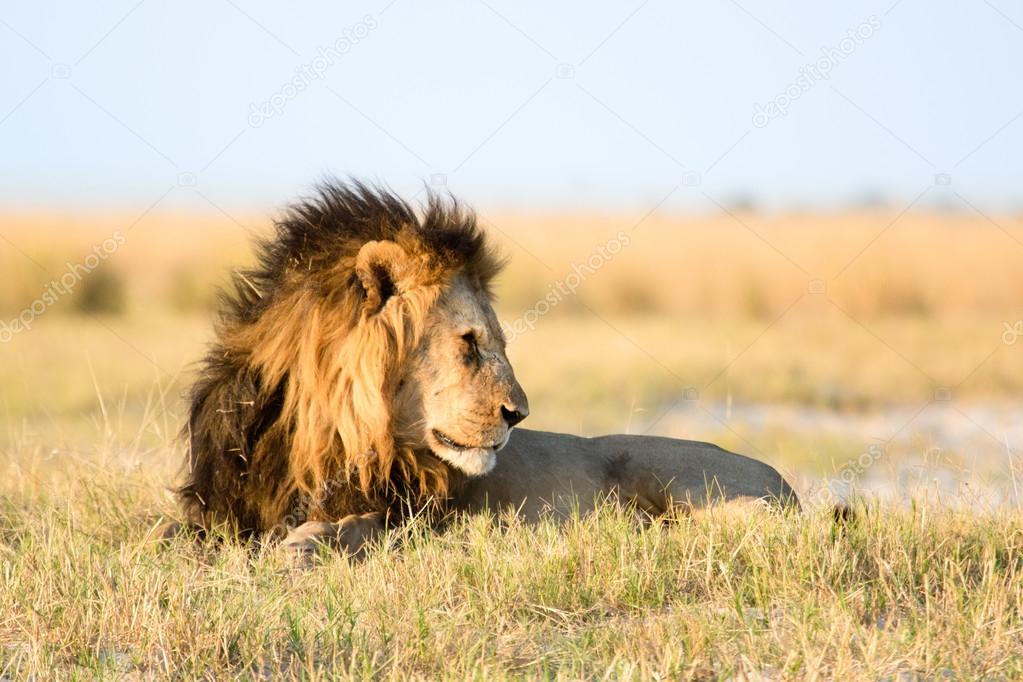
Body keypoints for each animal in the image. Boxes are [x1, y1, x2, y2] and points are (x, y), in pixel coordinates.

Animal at [175, 180, 797, 560]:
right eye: (469, 342)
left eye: (496, 341)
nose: (518, 414)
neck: (325, 431)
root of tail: (783, 482)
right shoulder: (217, 509)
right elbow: (171, 532)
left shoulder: (417, 519)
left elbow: (356, 527)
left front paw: (304, 546)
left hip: (681, 476)